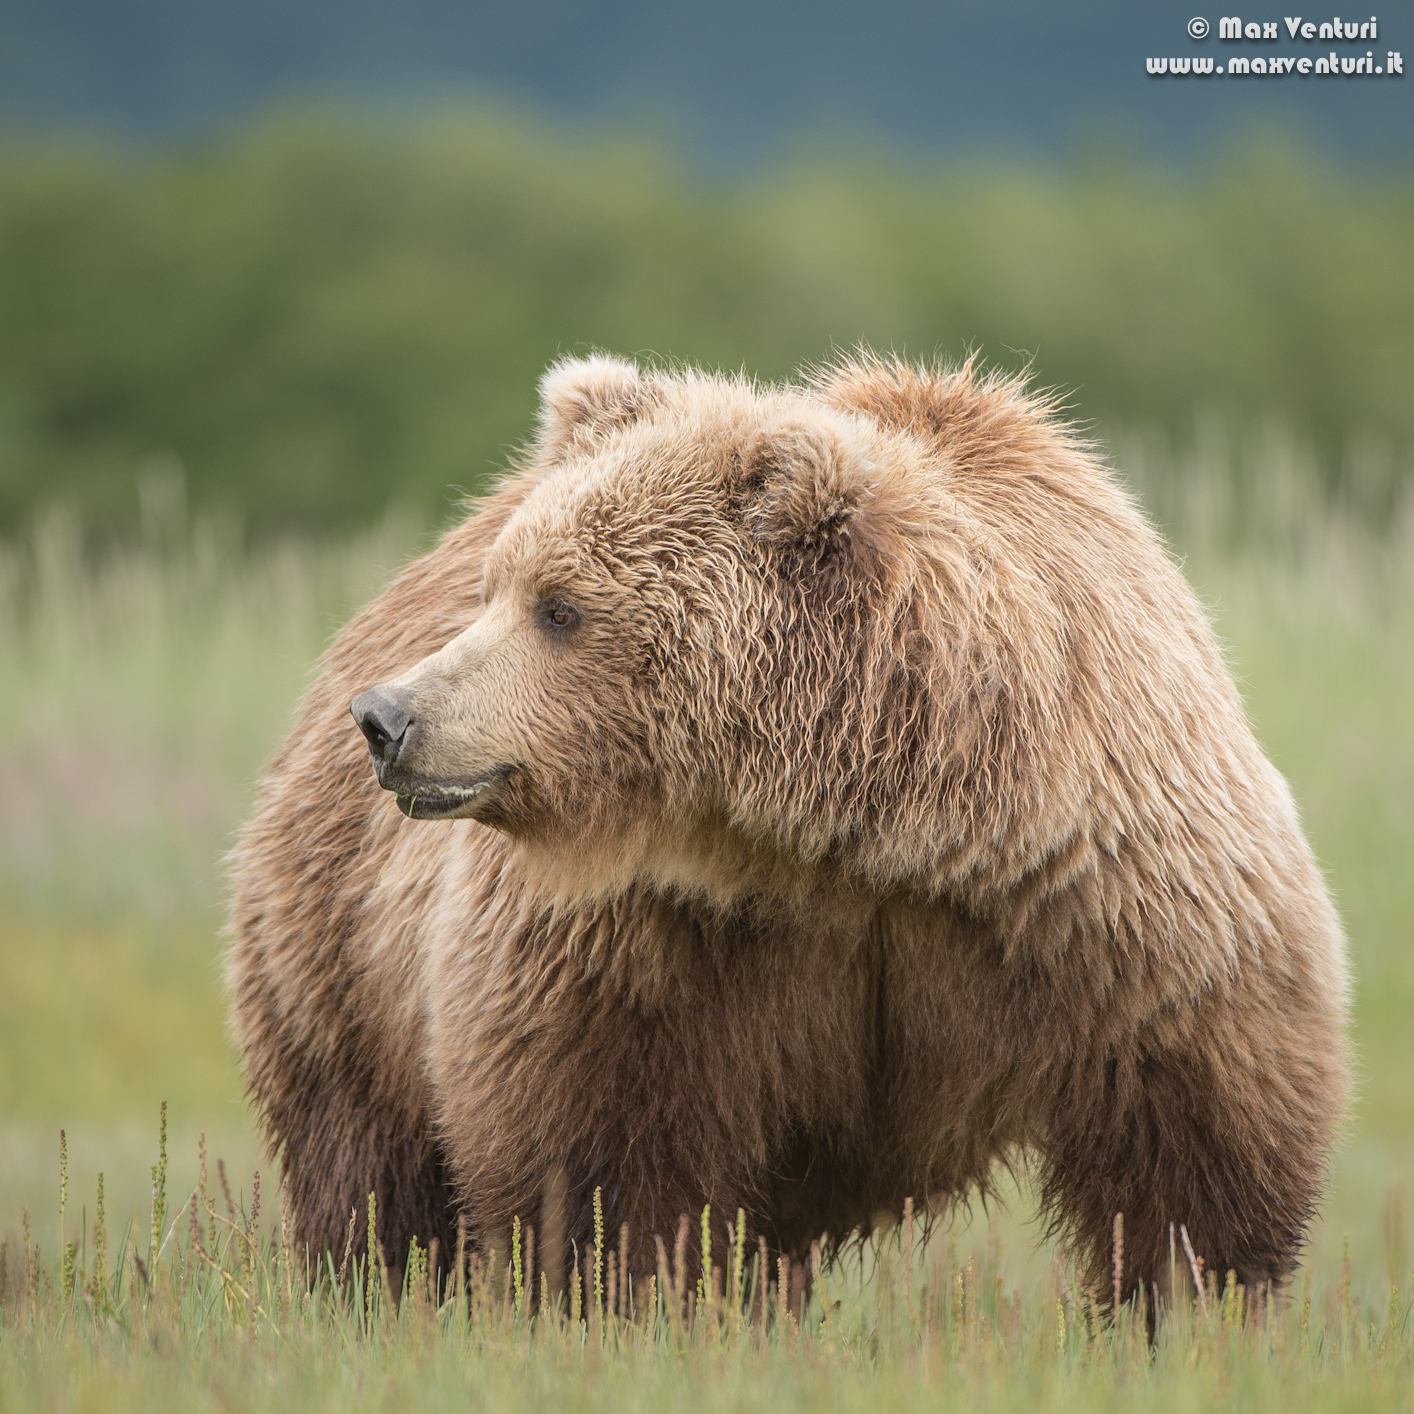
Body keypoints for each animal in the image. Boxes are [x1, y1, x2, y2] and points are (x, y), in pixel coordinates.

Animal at [229, 351, 1349, 1308]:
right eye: (497, 589)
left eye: (561, 608)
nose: (388, 717)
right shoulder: (647, 946)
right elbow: (594, 1158)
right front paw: (624, 1304)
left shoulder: (1107, 909)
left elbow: (1197, 1148)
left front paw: (1188, 1309)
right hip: (340, 952)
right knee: (369, 1174)